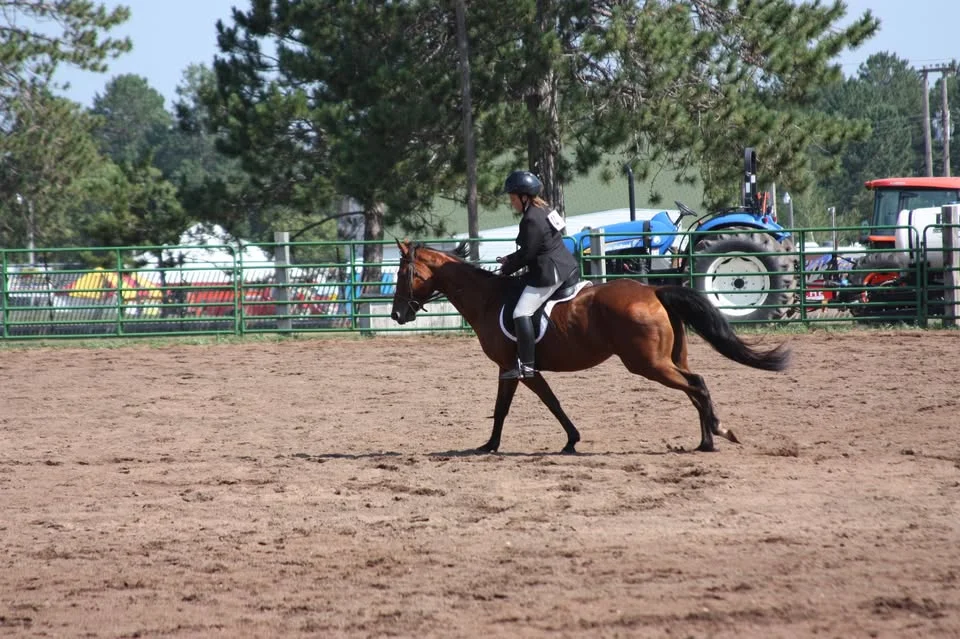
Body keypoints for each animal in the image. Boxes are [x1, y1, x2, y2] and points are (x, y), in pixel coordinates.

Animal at [390, 240, 790, 454]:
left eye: (402, 273)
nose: (396, 314)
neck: (488, 299)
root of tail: (654, 291)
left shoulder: (516, 368)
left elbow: (526, 406)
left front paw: (494, 445)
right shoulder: (516, 369)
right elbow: (533, 404)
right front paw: (563, 441)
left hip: (648, 364)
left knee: (697, 385)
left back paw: (718, 433)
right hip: (668, 360)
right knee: (695, 388)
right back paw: (706, 439)